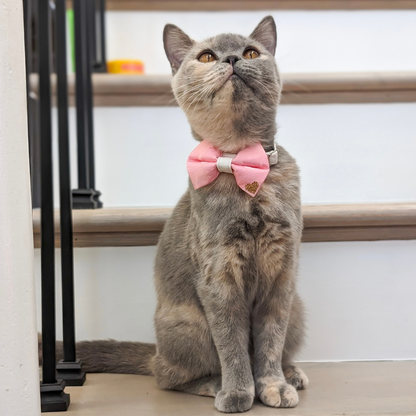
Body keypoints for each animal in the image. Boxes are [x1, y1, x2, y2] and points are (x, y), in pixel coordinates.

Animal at [48, 15, 308, 412]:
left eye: (251, 52)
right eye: (206, 56)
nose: (231, 59)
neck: (241, 162)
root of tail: (156, 350)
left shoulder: (282, 274)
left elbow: (270, 340)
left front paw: (274, 385)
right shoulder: (218, 276)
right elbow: (232, 343)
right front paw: (239, 392)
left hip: (298, 307)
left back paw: (292, 372)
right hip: (189, 322)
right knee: (168, 376)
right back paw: (214, 384)